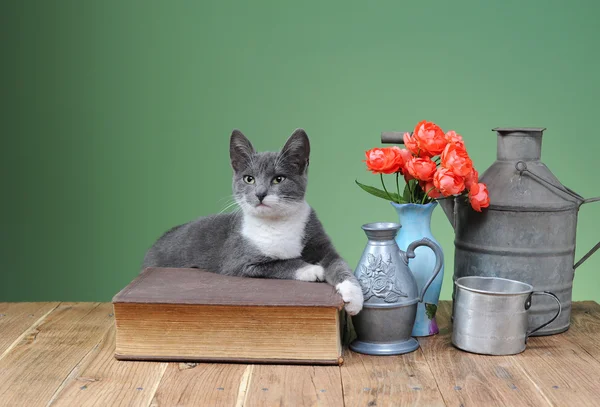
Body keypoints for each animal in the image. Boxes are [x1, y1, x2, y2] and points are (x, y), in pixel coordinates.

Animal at [143, 130, 364, 316]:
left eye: (278, 179)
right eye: (249, 179)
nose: (260, 193)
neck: (277, 223)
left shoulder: (319, 241)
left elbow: (338, 263)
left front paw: (353, 296)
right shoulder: (239, 261)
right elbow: (279, 263)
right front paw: (312, 269)